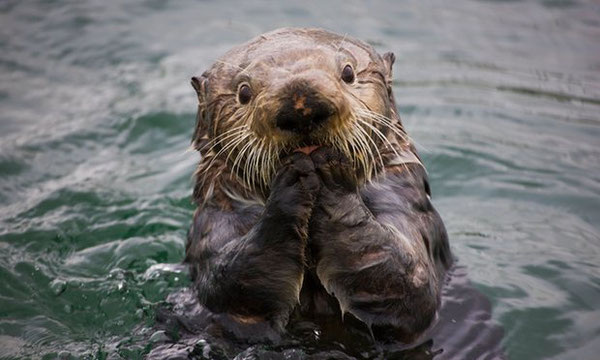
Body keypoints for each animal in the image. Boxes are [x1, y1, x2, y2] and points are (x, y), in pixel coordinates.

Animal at [185, 27, 452, 344]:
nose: (301, 104)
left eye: (348, 72)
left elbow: (412, 284)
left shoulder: (406, 203)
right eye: (243, 93)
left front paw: (330, 178)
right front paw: (294, 179)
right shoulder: (214, 221)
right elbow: (225, 283)